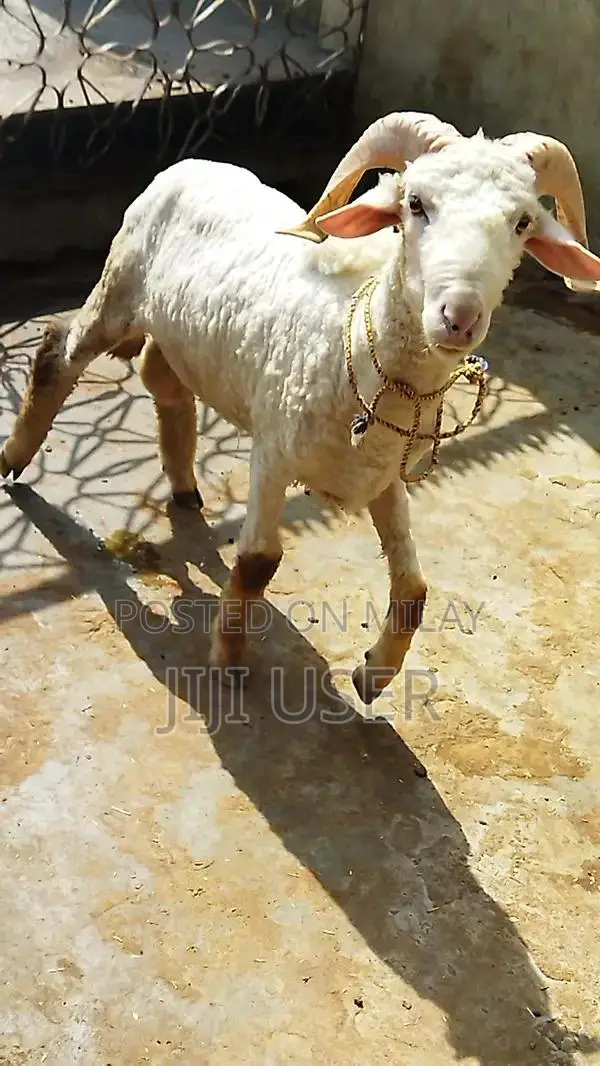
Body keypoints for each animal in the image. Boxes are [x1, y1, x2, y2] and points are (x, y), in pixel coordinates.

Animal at [3, 110, 600, 705]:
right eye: (415, 203)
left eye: (523, 223)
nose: (459, 317)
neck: (359, 350)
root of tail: (193, 162)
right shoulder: (273, 450)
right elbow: (256, 563)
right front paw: (228, 662)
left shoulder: (383, 476)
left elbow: (414, 589)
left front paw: (373, 677)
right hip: (119, 291)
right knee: (58, 354)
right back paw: (15, 459)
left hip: (181, 335)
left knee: (163, 379)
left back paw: (183, 484)